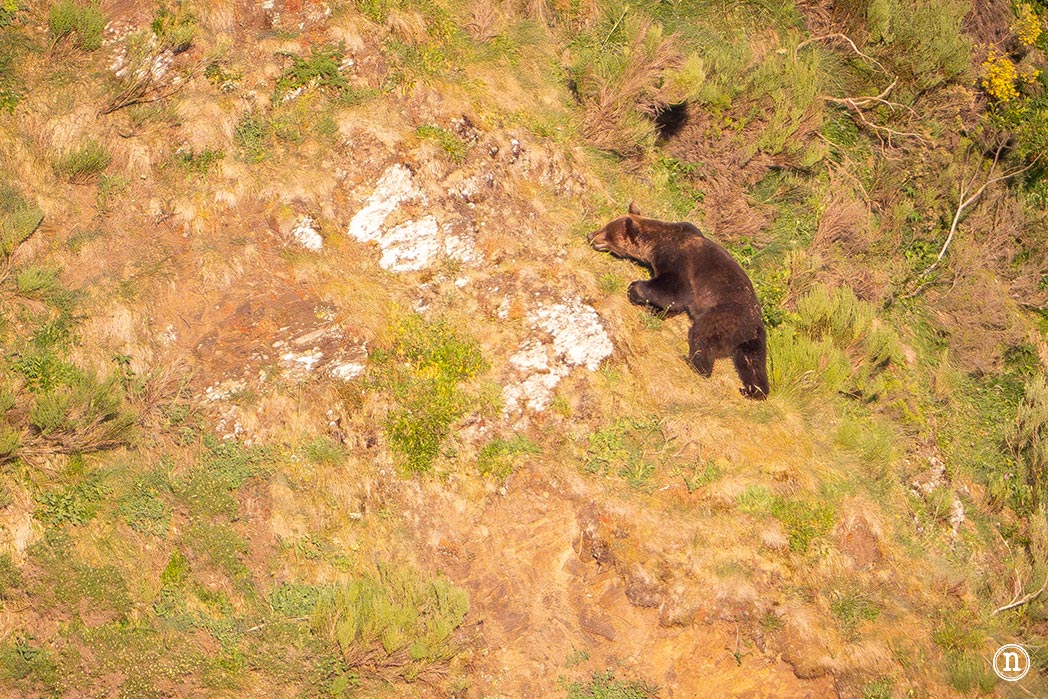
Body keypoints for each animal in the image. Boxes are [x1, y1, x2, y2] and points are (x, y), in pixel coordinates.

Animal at [588, 204, 769, 399]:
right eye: (605, 225)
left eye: (607, 232)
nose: (590, 235)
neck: (655, 243)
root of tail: (753, 325)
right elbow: (675, 302)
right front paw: (658, 311)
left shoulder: (678, 259)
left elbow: (677, 290)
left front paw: (635, 289)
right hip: (753, 342)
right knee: (753, 364)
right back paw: (753, 390)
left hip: (726, 316)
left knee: (702, 335)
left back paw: (695, 364)